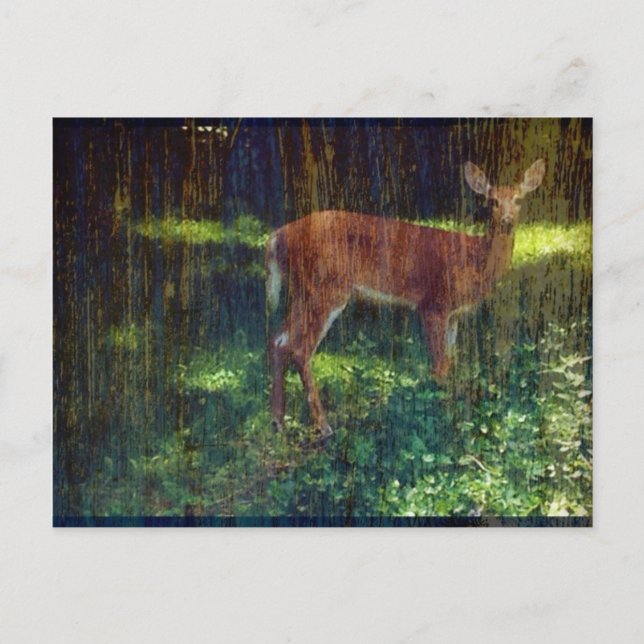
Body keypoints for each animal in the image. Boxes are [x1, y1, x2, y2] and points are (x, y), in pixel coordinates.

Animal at [266, 159, 546, 443]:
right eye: (492, 201)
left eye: (519, 199)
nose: (507, 221)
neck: (475, 261)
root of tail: (277, 236)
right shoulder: (433, 304)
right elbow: (439, 365)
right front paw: (439, 419)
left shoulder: (454, 315)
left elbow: (451, 361)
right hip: (327, 287)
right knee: (299, 348)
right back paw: (323, 426)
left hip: (303, 290)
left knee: (278, 340)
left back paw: (279, 422)